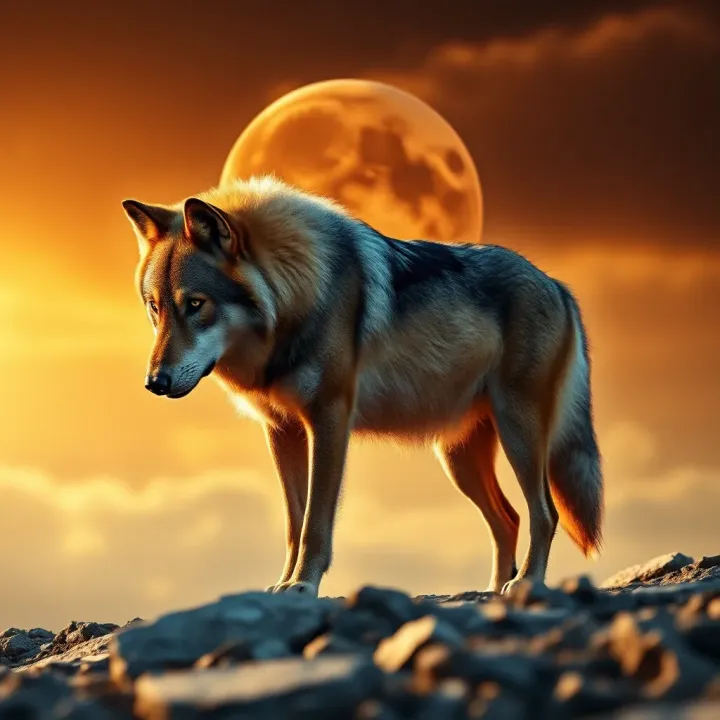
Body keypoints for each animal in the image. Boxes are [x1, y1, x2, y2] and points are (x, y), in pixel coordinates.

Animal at [122, 175, 603, 598]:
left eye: (195, 304)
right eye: (155, 307)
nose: (154, 382)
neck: (300, 296)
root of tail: (557, 285)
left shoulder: (329, 420)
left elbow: (315, 524)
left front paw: (303, 585)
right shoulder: (282, 430)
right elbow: (294, 523)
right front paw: (283, 584)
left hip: (517, 436)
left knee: (545, 513)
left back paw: (525, 583)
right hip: (458, 458)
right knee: (510, 519)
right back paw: (493, 589)